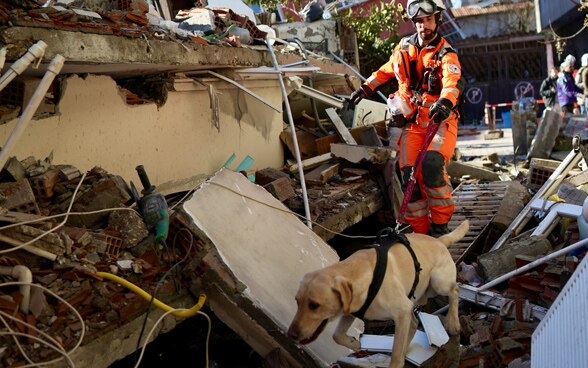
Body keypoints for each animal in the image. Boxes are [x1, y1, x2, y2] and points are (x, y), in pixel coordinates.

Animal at [288, 220, 468, 366]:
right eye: (297, 301)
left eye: (314, 305)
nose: (291, 334)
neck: (360, 274)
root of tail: (439, 241)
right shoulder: (352, 311)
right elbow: (336, 335)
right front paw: (354, 343)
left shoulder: (402, 310)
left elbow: (396, 352)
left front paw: (396, 361)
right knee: (414, 323)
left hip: (437, 284)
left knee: (455, 290)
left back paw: (453, 322)